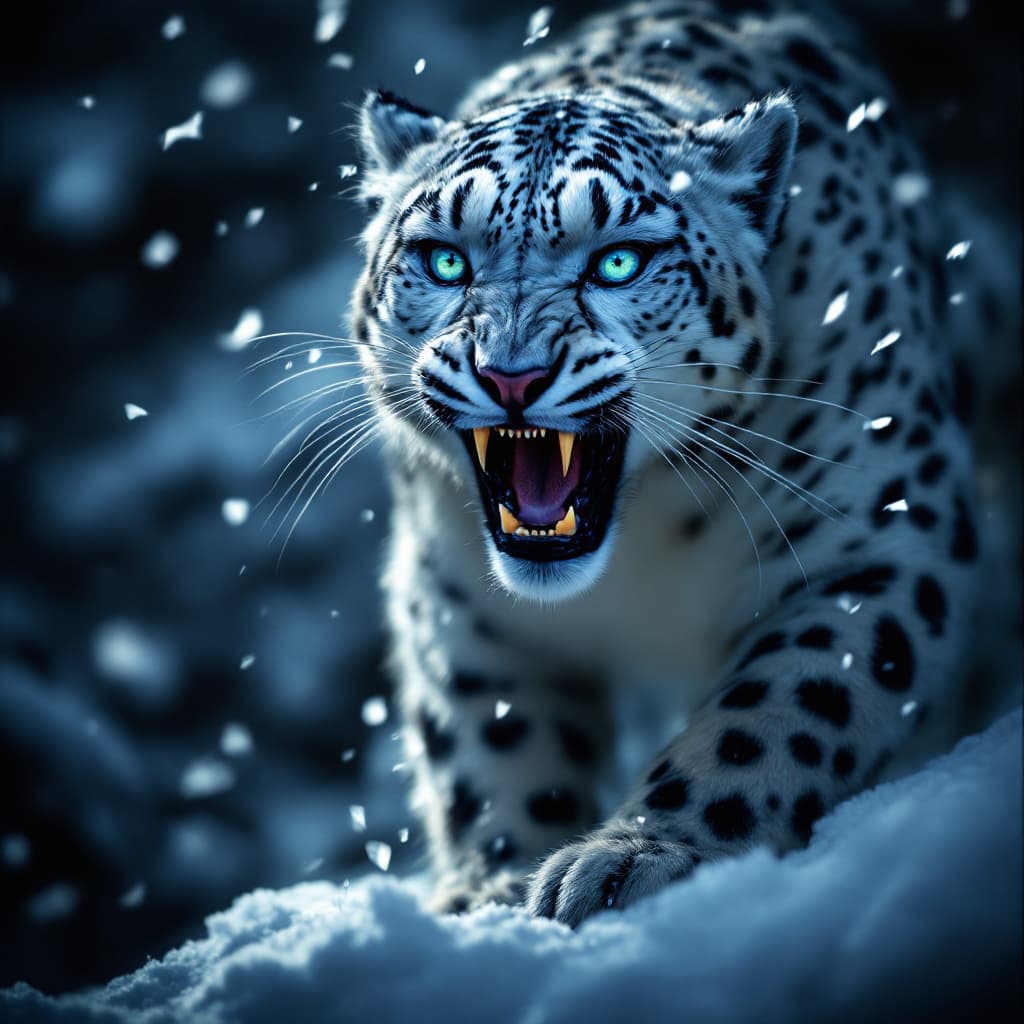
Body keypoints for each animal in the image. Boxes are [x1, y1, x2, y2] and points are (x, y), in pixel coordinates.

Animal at [348, 0, 989, 927]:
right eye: (444, 259)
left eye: (619, 260)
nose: (511, 374)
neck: (645, 537)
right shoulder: (459, 600)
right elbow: (494, 741)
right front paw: (491, 893)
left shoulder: (880, 541)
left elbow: (777, 708)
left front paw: (634, 858)